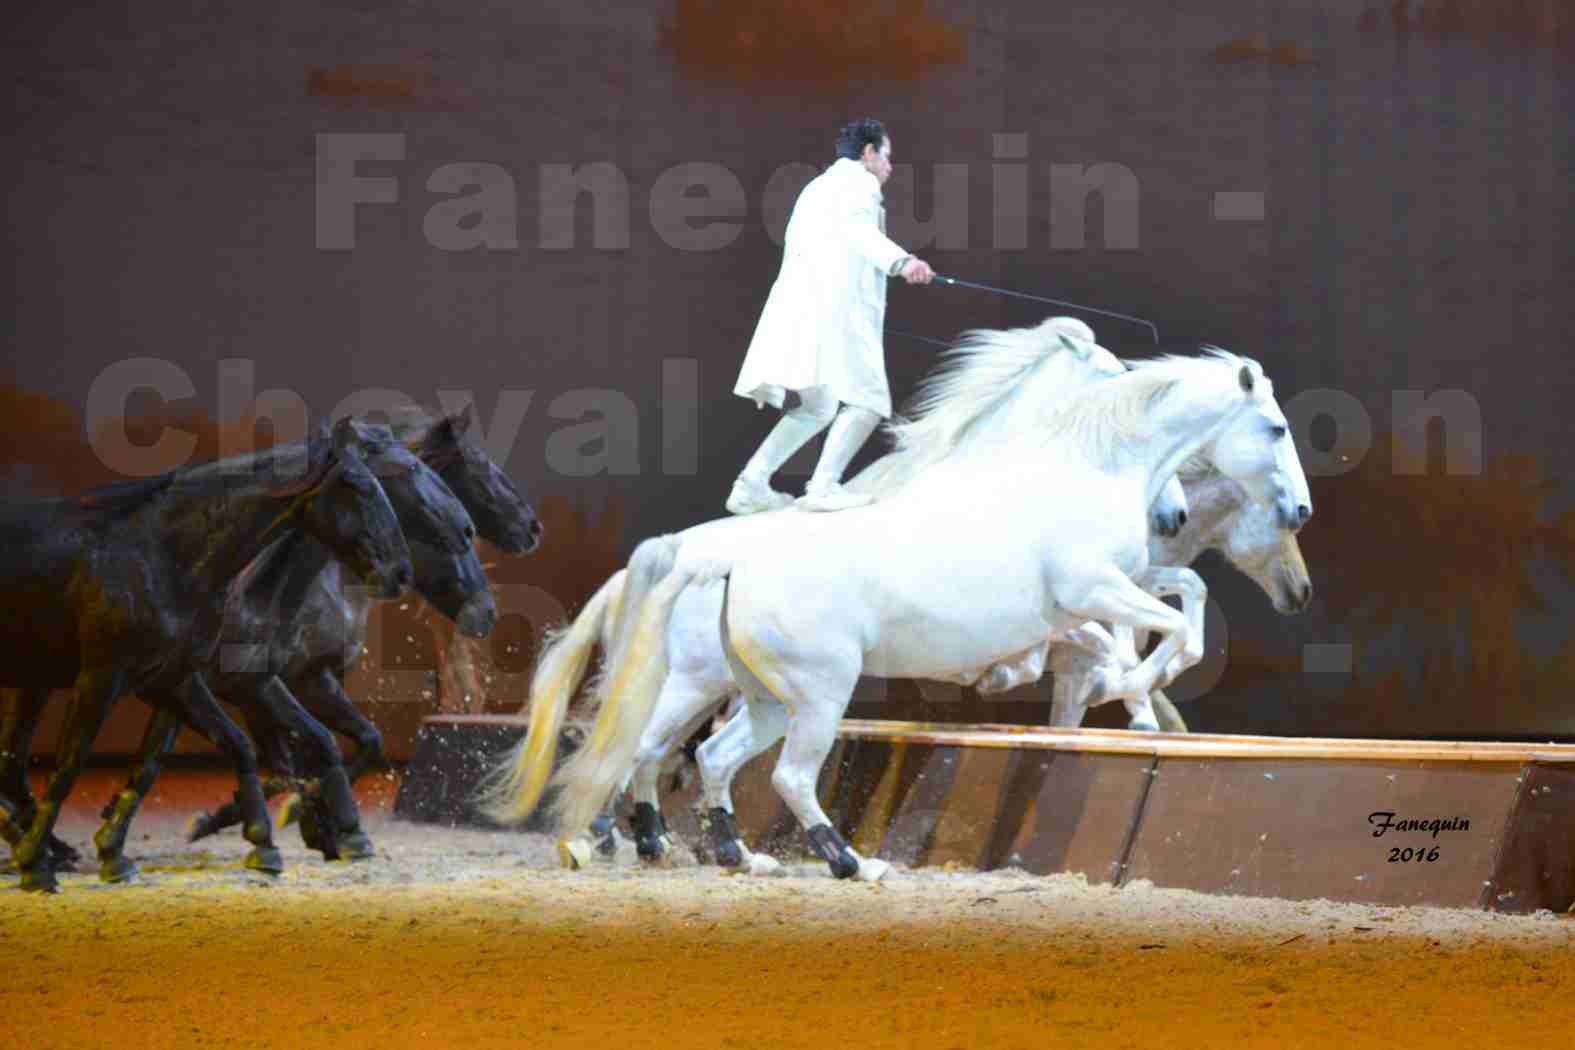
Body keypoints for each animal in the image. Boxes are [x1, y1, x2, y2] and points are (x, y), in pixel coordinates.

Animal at [0, 418, 412, 894]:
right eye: (358, 485)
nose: (401, 572)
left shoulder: (179, 680)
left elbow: (244, 749)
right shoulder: (106, 677)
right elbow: (72, 767)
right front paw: (39, 865)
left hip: (33, 681)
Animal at [485, 352, 1310, 881]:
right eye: (1274, 428)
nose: (1301, 509)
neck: (1077, 468)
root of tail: (717, 560)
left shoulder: (1110, 589)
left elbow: (1183, 601)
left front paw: (1133, 692)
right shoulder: (1091, 594)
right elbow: (1164, 634)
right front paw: (1132, 690)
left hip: (763, 697)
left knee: (701, 756)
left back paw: (727, 854)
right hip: (805, 694)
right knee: (760, 771)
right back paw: (848, 862)